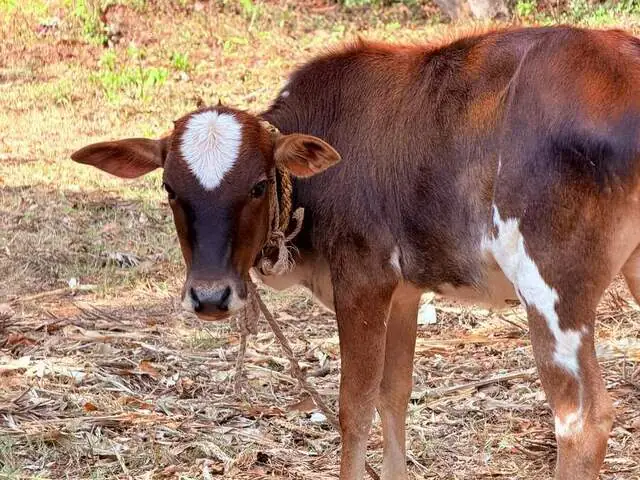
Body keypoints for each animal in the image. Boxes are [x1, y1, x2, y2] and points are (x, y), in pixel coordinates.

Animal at [70, 25, 640, 480]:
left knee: (581, 421)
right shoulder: (405, 292)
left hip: (552, 292)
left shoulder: (363, 282)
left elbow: (354, 407)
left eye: (257, 185)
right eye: (169, 188)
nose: (210, 297)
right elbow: (394, 396)